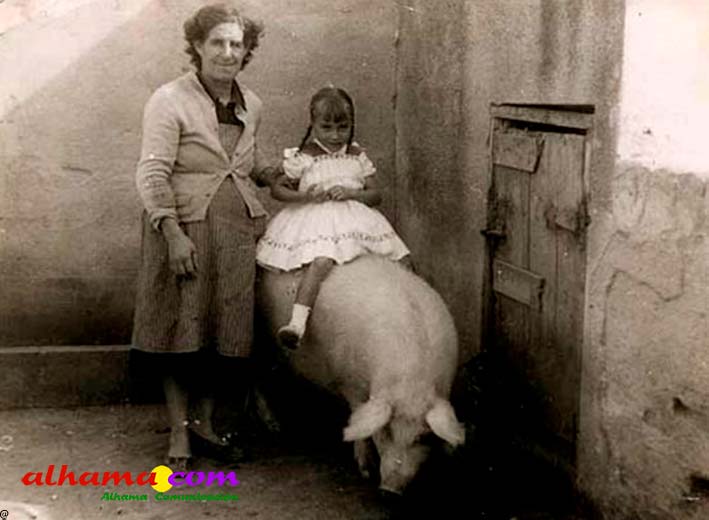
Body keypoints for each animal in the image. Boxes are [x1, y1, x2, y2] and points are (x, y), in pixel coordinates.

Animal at [256, 255, 465, 494]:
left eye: (423, 437)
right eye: (386, 431)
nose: (390, 490)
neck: (411, 382)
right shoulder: (348, 381)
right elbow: (357, 415)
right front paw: (366, 471)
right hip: (262, 335)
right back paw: (275, 427)